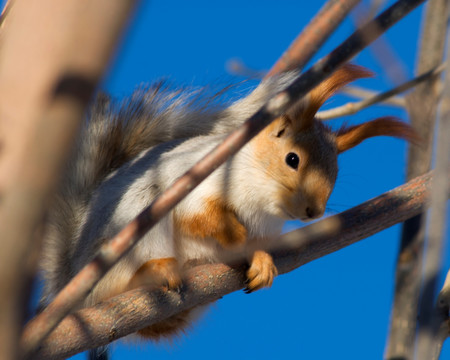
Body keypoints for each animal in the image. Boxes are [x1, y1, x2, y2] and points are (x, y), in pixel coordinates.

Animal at [38, 63, 418, 342]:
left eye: (337, 171)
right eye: (293, 159)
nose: (314, 212)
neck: (261, 201)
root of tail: (71, 277)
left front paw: (261, 259)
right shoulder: (192, 189)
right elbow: (205, 219)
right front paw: (251, 250)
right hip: (134, 225)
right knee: (113, 287)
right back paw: (157, 270)